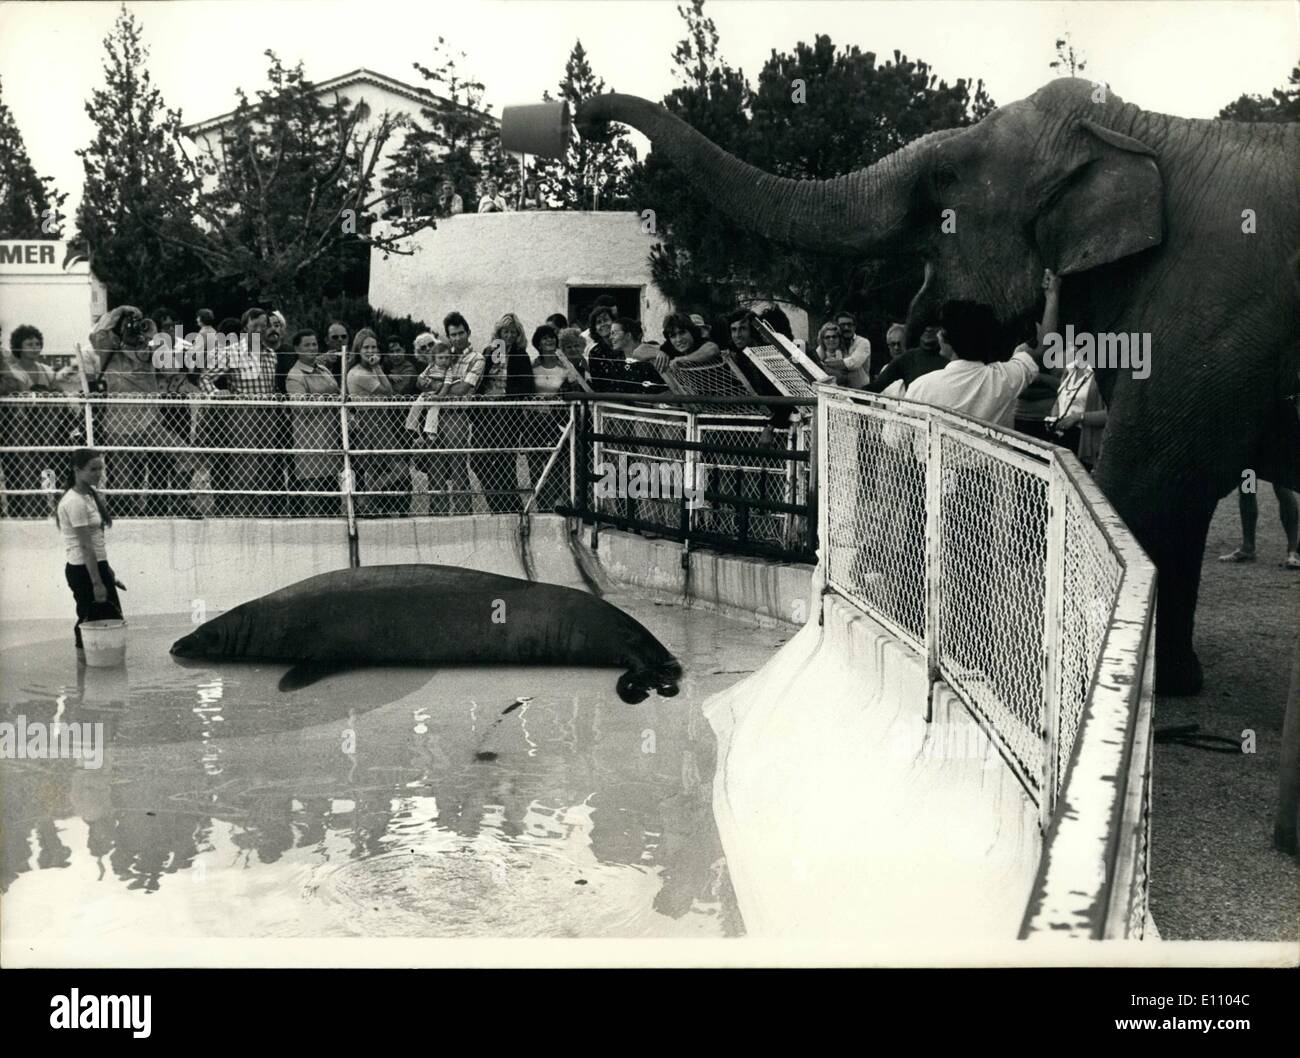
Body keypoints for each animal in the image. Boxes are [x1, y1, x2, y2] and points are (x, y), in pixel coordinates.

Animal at [509, 80, 1300, 696]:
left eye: (940, 185)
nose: (581, 117)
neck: (1147, 127)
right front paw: (1179, 685)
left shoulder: (1207, 314)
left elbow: (1150, 485)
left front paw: (1154, 697)